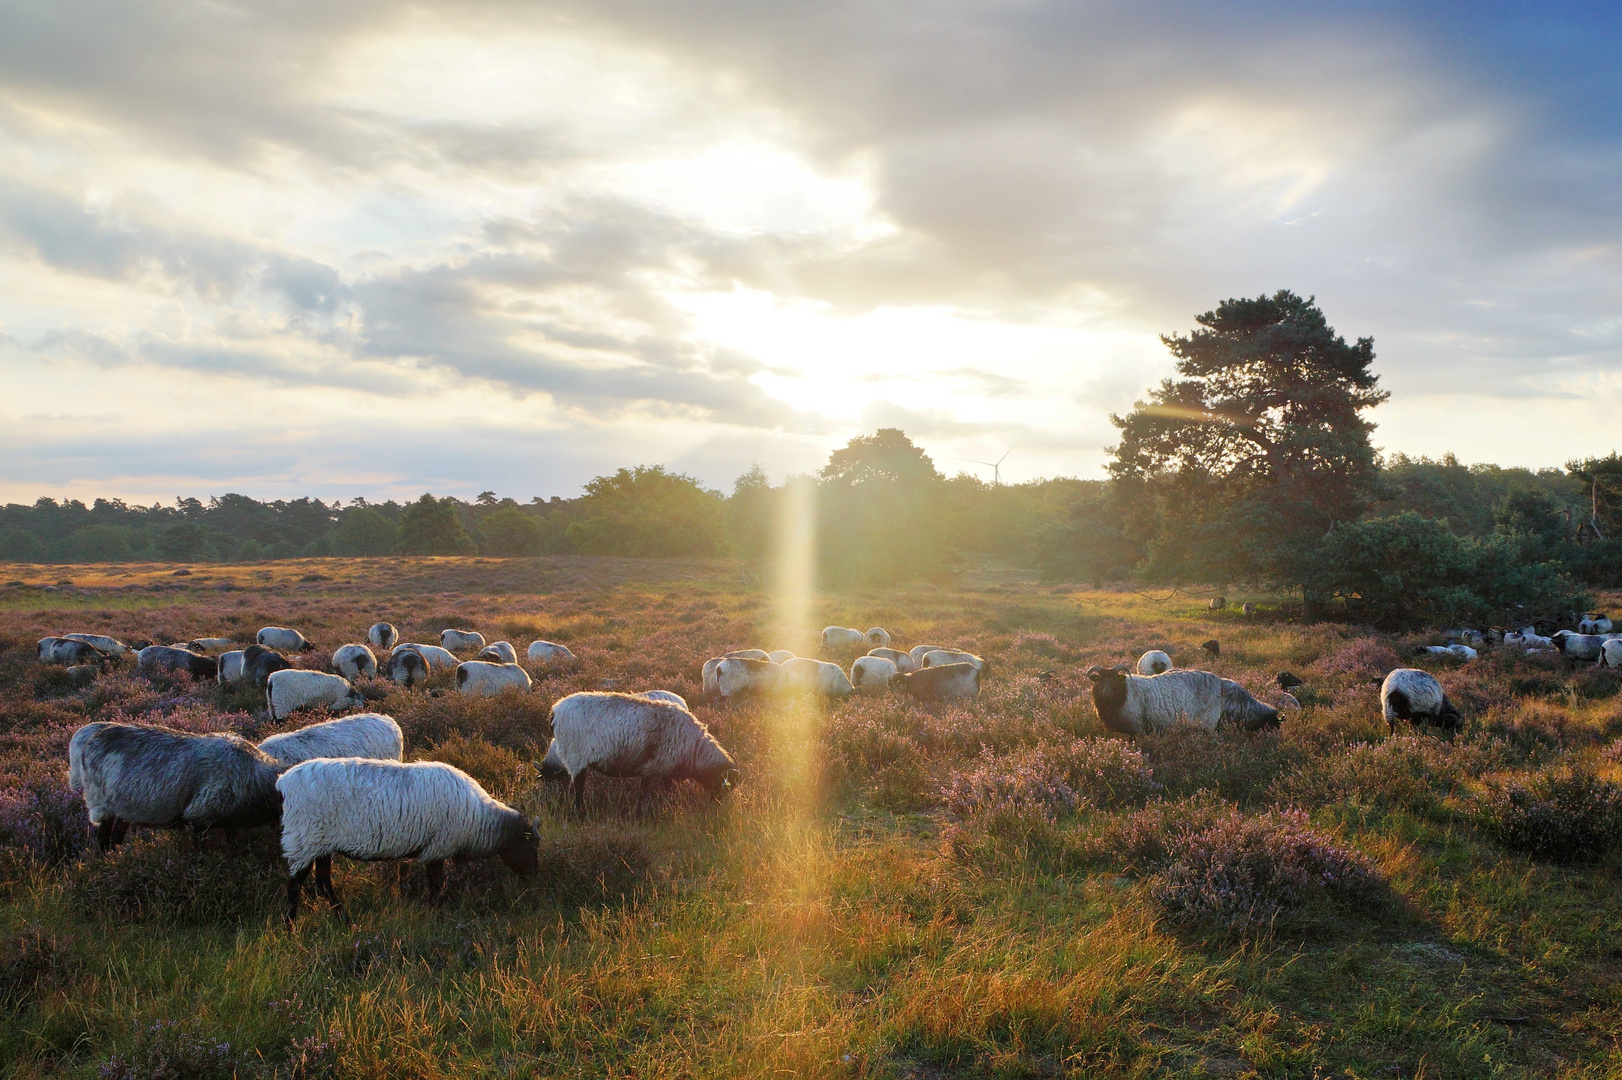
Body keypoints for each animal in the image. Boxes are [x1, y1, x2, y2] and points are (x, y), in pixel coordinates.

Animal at [68, 713, 282, 849]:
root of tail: (88, 737)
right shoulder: (201, 813)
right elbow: (201, 849)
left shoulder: (229, 818)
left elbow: (233, 844)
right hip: (102, 804)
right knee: (103, 839)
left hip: (125, 808)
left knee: (116, 838)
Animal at [275, 752, 535, 921]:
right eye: (529, 844)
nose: (532, 878)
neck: (480, 819)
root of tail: (284, 781)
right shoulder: (438, 846)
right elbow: (437, 883)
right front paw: (436, 914)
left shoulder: (436, 848)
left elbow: (436, 882)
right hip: (303, 838)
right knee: (294, 885)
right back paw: (291, 926)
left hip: (320, 843)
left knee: (322, 881)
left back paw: (342, 919)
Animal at [1083, 661, 1219, 736]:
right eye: (1099, 680)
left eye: (1115, 679)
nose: (1106, 693)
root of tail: (1218, 681)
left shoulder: (1137, 729)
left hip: (1207, 724)